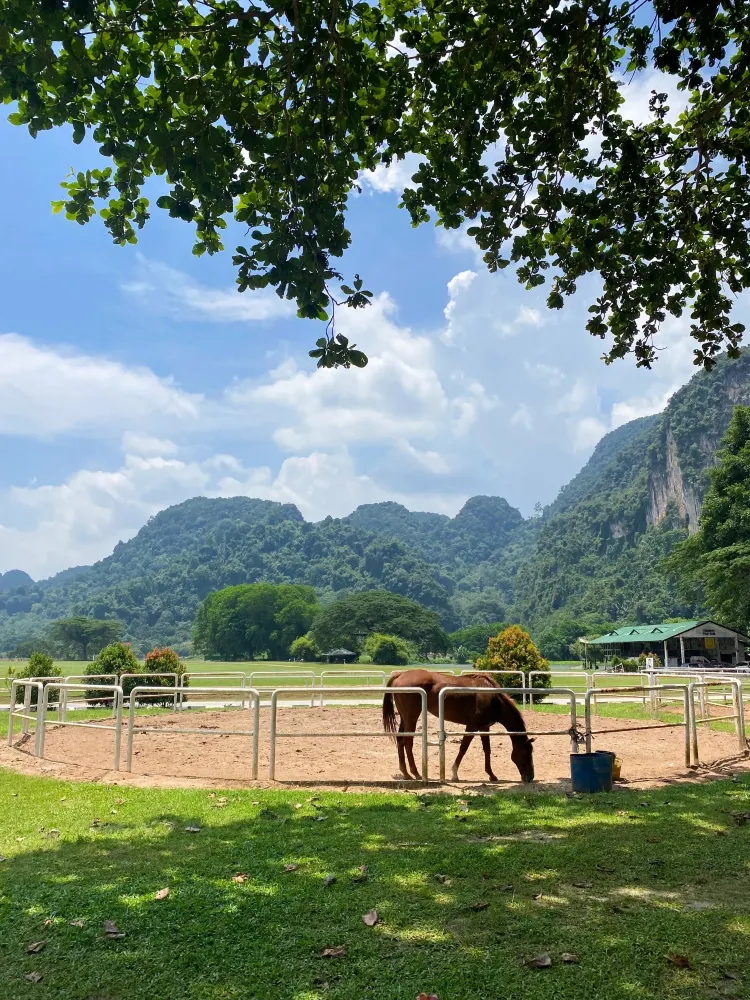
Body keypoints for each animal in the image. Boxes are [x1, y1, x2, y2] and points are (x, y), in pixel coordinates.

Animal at [382, 669, 535, 783]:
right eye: (527, 753)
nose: (530, 777)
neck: (492, 698)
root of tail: (400, 675)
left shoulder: (484, 727)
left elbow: (487, 749)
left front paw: (491, 775)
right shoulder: (472, 726)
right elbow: (463, 748)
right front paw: (454, 774)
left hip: (404, 718)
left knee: (400, 740)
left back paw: (406, 773)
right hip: (411, 717)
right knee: (408, 742)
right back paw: (416, 773)